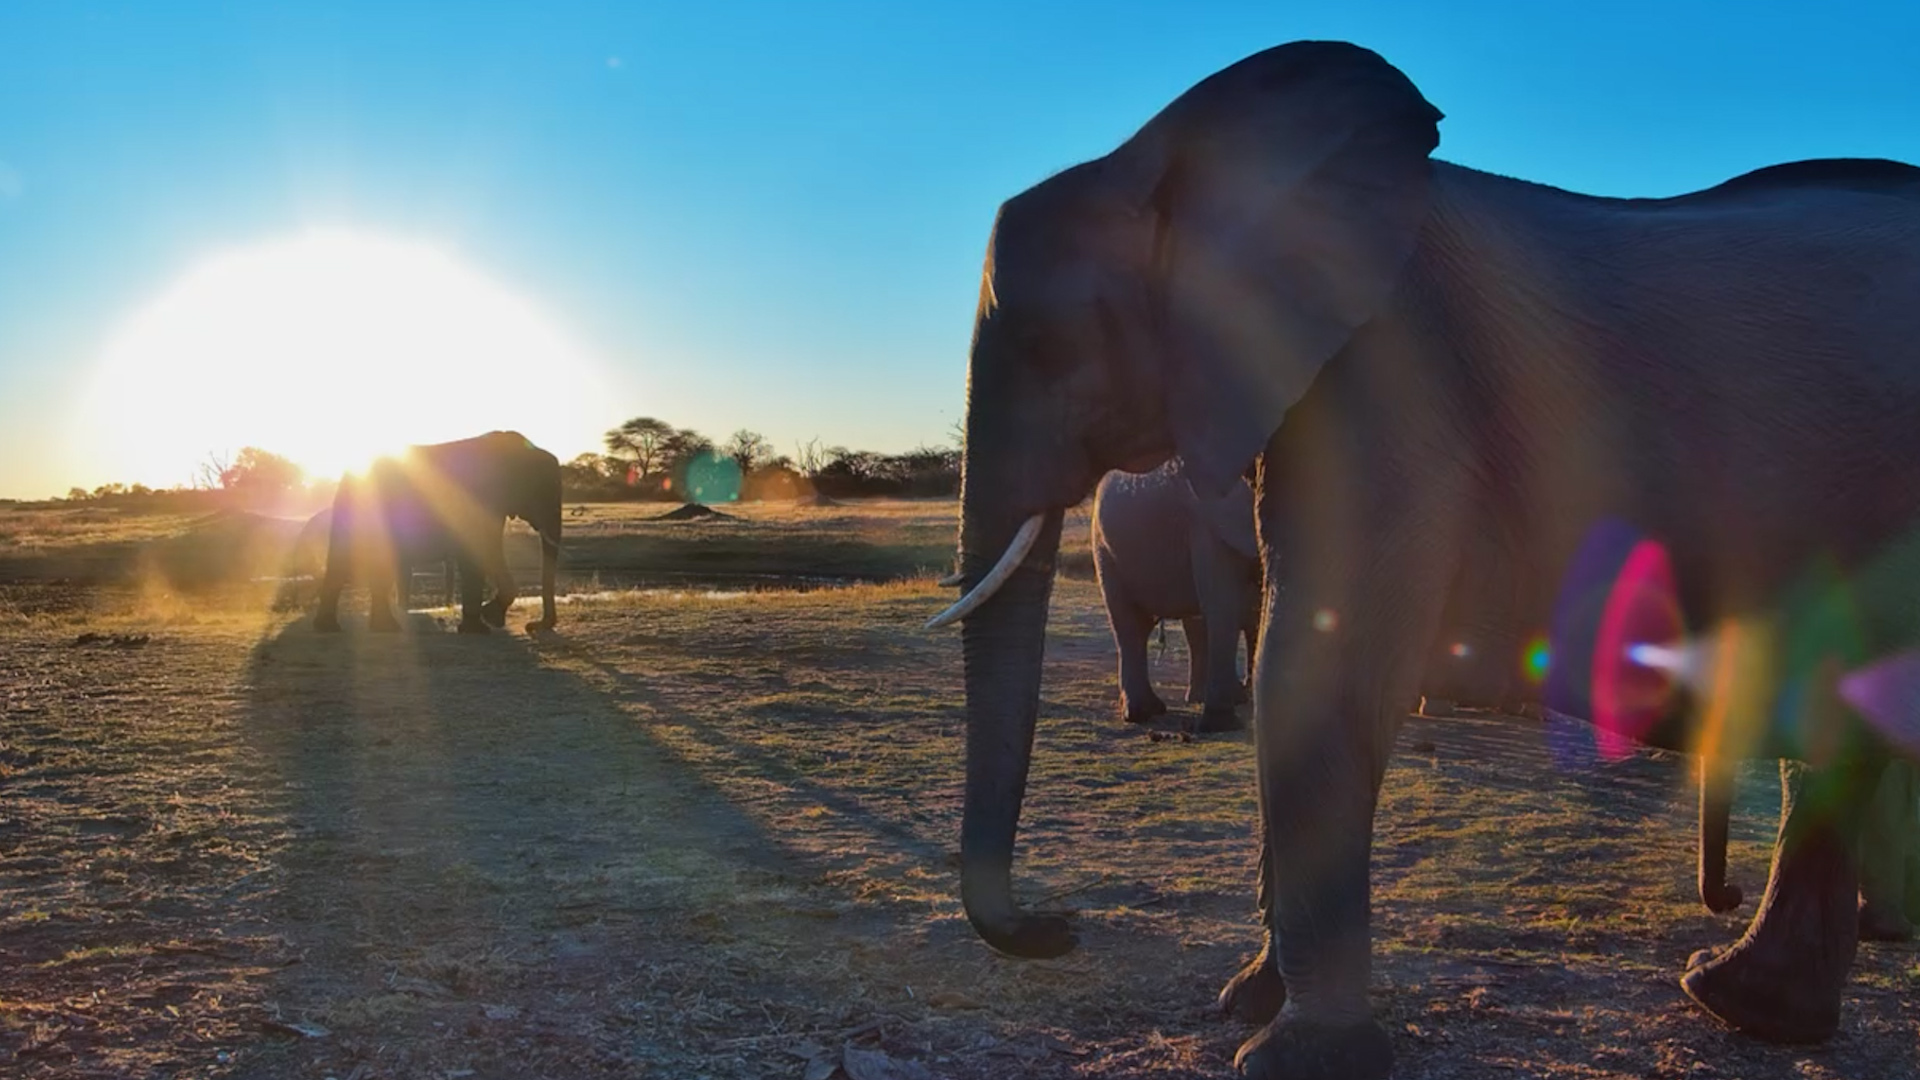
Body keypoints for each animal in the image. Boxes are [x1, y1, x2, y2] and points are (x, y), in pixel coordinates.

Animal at [315, 430, 561, 635]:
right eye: (540, 490)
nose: (532, 626)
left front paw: (481, 626)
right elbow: (482, 549)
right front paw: (487, 622)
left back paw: (348, 628)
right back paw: (371, 628)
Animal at [1092, 459, 1261, 732]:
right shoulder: (1206, 519)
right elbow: (1224, 604)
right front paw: (1222, 724)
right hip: (1104, 549)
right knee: (1129, 623)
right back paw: (1143, 713)